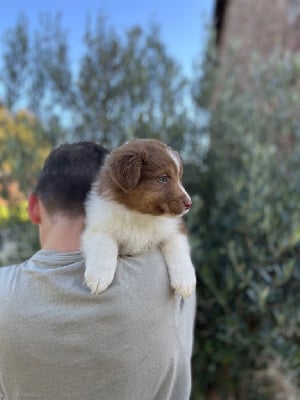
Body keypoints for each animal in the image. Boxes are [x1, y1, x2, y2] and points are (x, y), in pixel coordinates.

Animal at [81, 138, 196, 296]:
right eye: (163, 178)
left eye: (179, 178)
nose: (189, 203)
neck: (141, 216)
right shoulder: (96, 226)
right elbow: (104, 243)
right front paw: (98, 276)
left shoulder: (175, 227)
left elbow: (178, 247)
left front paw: (185, 281)